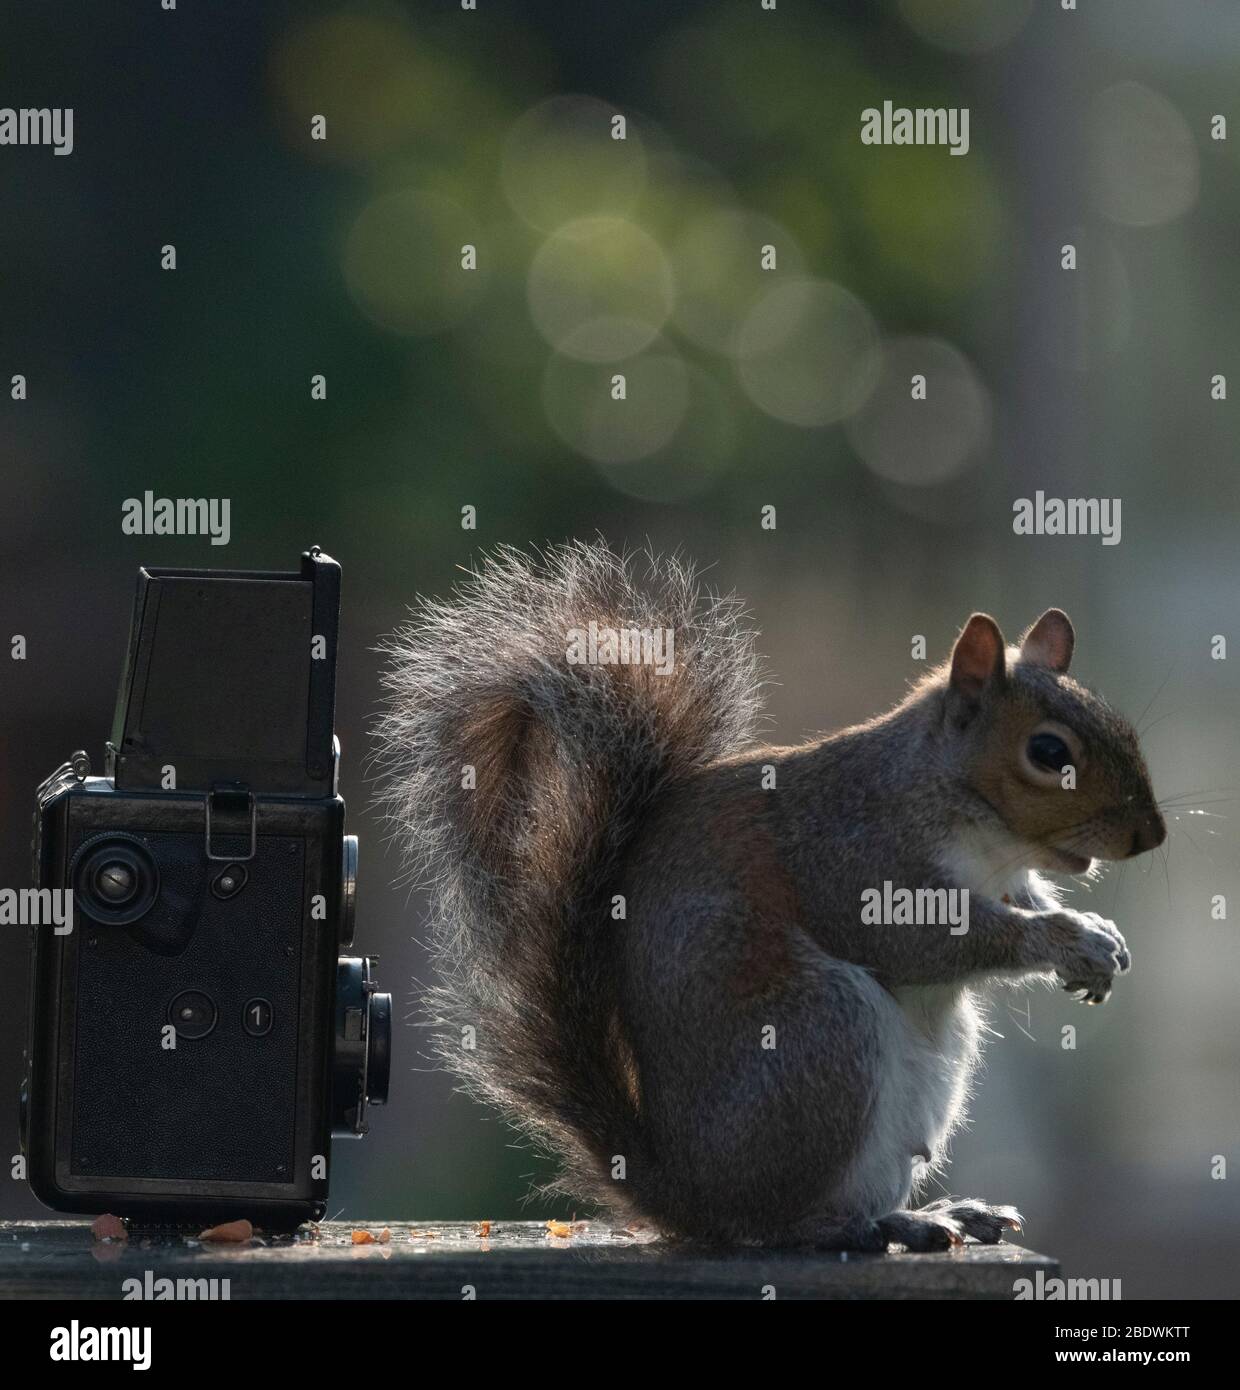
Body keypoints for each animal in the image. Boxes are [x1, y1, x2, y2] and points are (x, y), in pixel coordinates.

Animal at [375, 539, 1162, 1251]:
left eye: (1121, 724)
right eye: (1049, 753)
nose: (1150, 835)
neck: (982, 833)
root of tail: (687, 1196)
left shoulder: (1008, 877)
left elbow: (1029, 899)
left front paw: (1099, 938)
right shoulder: (853, 858)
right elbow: (928, 940)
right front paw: (1067, 937)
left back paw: (929, 1215)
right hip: (820, 1029)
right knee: (775, 1224)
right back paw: (859, 1227)